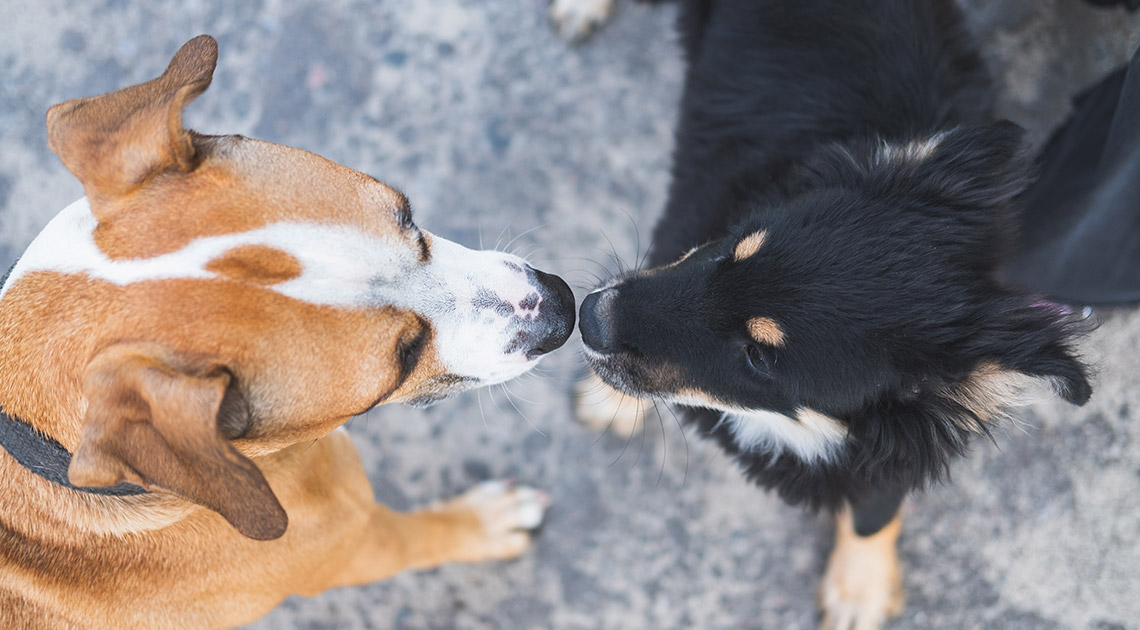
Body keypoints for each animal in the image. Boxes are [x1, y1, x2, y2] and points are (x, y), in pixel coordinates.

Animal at [0, 35, 574, 628]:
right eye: (405, 358)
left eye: (409, 217)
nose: (563, 306)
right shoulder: (358, 543)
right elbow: (424, 536)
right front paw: (487, 522)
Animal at [579, 2, 1094, 624]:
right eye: (730, 250)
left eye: (759, 357)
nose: (589, 316)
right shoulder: (680, 229)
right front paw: (606, 401)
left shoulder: (891, 442)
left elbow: (873, 510)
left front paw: (859, 589)